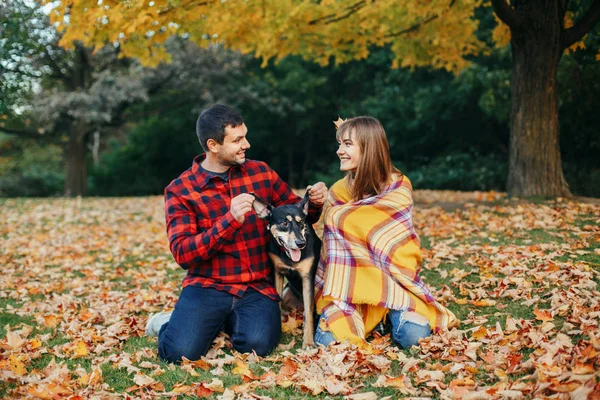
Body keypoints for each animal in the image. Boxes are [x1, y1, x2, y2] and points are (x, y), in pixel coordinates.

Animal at [251, 191, 322, 346]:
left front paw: (308, 342)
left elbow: (309, 313)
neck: (289, 256)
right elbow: (276, 303)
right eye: (284, 223)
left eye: (301, 223)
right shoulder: (278, 273)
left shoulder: (307, 278)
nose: (301, 243)